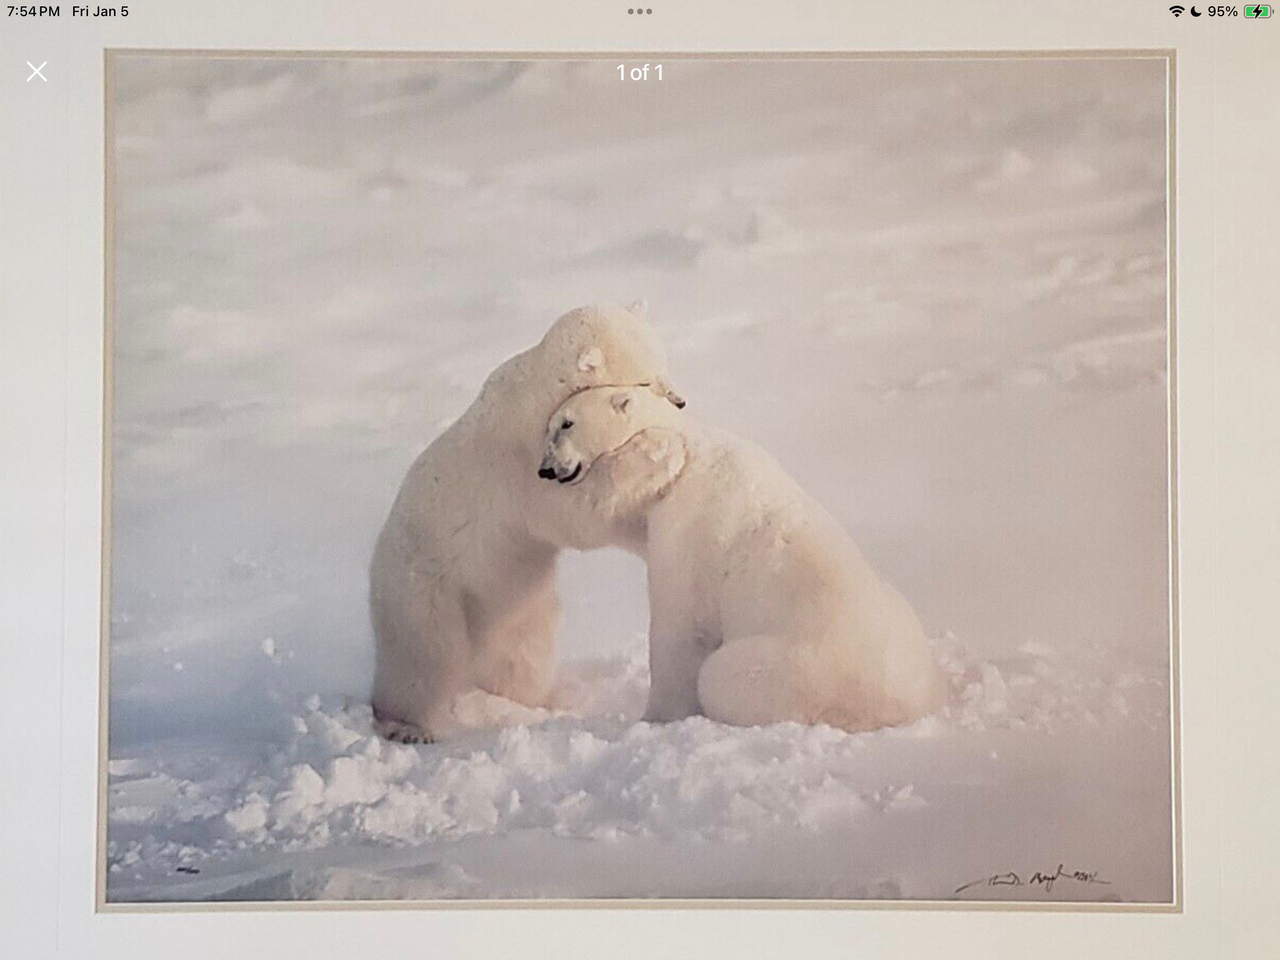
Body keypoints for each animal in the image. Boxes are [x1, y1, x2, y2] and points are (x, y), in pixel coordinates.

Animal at [369, 303, 685, 743]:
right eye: (644, 378)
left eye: (664, 364)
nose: (681, 402)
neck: (537, 394)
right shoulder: (520, 469)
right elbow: (578, 513)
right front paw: (661, 450)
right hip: (424, 592)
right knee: (423, 660)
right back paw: (408, 726)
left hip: (519, 605)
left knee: (521, 659)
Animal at [538, 384, 946, 733]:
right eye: (553, 424)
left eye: (567, 423)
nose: (545, 468)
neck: (695, 447)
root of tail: (891, 704)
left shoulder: (687, 527)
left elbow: (680, 625)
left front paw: (655, 717)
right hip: (898, 615)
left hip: (786, 667)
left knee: (720, 675)